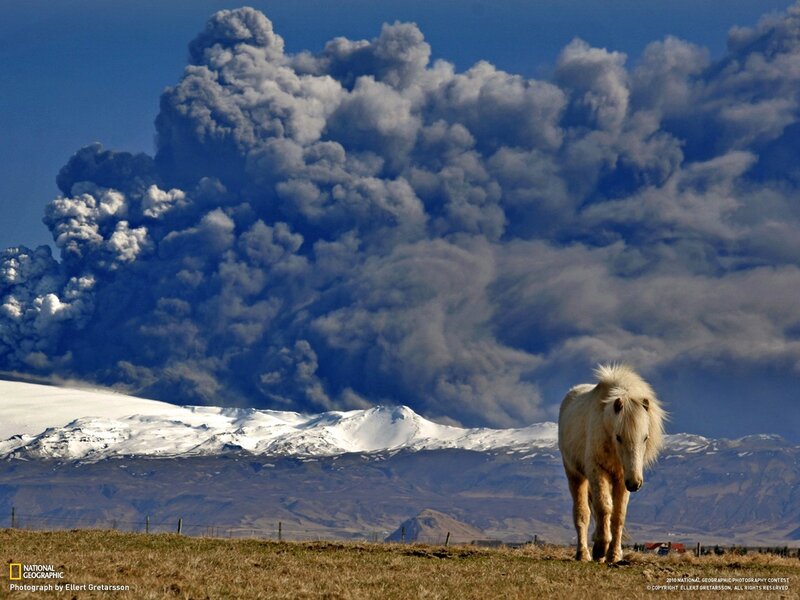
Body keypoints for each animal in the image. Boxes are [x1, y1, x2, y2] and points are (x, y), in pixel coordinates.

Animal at [558, 364, 666, 563]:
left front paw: (614, 554)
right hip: (575, 475)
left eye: (645, 437)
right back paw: (583, 554)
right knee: (582, 514)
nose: (635, 483)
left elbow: (618, 515)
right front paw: (600, 548)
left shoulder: (622, 478)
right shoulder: (597, 471)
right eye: (619, 437)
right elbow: (603, 507)